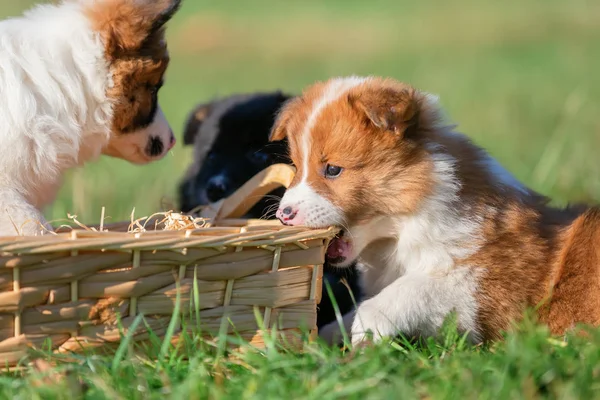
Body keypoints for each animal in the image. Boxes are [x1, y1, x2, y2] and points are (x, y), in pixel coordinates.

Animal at [270, 76, 600, 346]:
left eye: (333, 169)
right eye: (296, 166)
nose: (283, 215)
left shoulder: (482, 290)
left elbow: (405, 292)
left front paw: (366, 333)